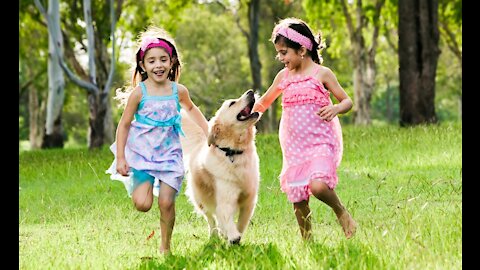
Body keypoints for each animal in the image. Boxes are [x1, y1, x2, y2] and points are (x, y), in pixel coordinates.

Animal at [180, 89, 260, 244]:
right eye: (232, 103)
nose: (251, 91)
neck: (233, 152)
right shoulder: (225, 197)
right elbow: (226, 217)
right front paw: (233, 236)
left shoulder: (249, 200)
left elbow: (242, 222)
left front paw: (235, 236)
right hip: (201, 199)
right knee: (211, 219)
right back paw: (215, 235)